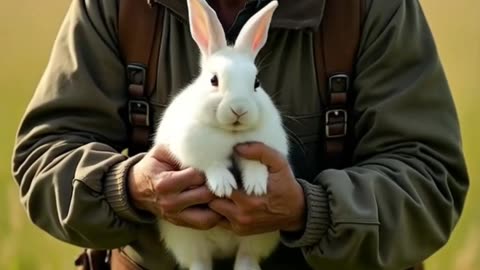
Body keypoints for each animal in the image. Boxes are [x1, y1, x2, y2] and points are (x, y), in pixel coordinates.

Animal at [156, 0, 286, 270]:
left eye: (256, 83)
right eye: (213, 80)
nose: (239, 109)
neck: (231, 132)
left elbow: (255, 164)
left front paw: (256, 187)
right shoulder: (195, 151)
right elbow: (212, 165)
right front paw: (224, 186)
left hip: (257, 236)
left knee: (246, 256)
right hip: (189, 239)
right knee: (200, 261)